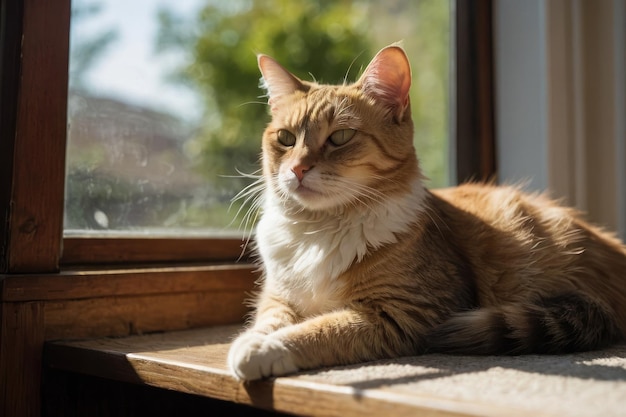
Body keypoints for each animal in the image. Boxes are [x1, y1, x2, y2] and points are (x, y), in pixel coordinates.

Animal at [227, 43, 624, 380]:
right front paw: (253, 341)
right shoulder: (278, 296)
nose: (297, 170)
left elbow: (319, 329)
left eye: (340, 137)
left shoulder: (402, 313)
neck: (318, 231)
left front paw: (265, 350)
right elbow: (271, 320)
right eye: (286, 139)